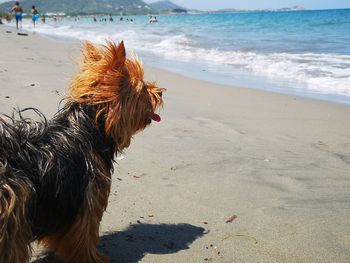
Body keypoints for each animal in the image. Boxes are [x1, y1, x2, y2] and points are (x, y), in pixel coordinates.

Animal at [0, 40, 165, 262]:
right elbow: (85, 236)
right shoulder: (88, 199)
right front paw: (93, 258)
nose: (161, 91)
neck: (90, 126)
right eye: (143, 88)